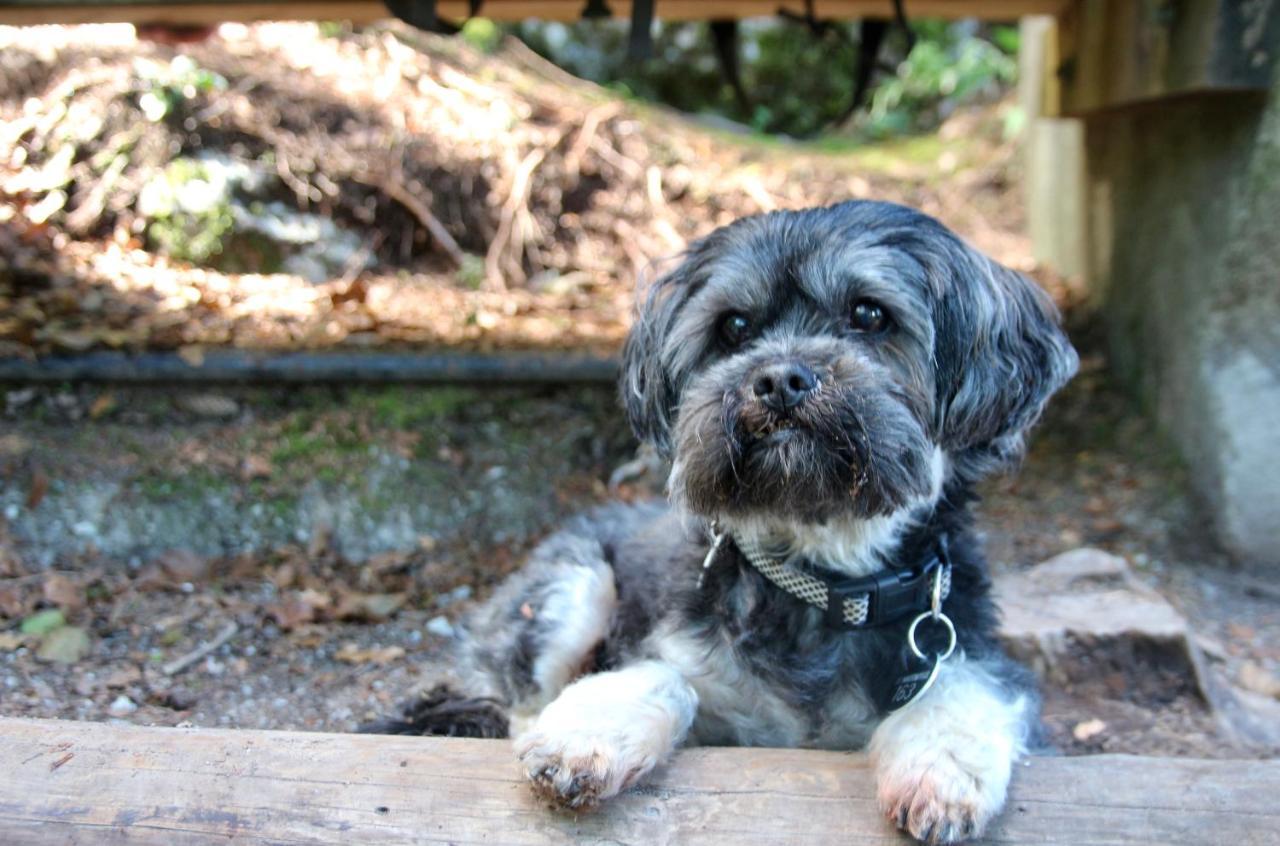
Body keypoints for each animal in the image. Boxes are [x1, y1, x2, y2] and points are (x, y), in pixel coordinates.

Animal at [371, 199, 1080, 844]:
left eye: (870, 314)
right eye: (734, 327)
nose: (780, 378)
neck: (821, 580)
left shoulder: (973, 652)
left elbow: (965, 686)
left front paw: (943, 771)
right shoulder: (677, 653)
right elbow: (659, 676)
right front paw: (587, 734)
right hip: (568, 587)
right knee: (521, 697)